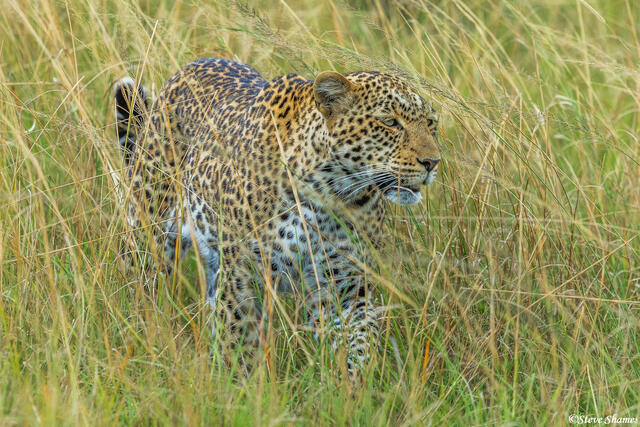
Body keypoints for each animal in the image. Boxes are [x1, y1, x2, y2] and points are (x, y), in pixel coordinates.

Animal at [112, 57, 441, 378]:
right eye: (389, 122)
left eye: (431, 124)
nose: (432, 162)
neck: (330, 194)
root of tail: (187, 69)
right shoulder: (242, 275)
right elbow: (238, 343)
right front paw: (240, 389)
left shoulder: (345, 284)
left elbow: (357, 347)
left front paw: (354, 391)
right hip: (148, 233)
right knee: (139, 289)